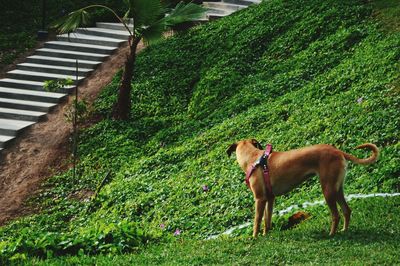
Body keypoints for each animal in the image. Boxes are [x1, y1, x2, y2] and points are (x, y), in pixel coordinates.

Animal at [227, 139, 380, 237]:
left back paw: (331, 234)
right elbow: (267, 219)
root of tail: (338, 151)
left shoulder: (259, 199)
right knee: (347, 210)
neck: (254, 158)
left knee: (336, 215)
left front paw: (254, 237)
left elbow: (257, 220)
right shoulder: (270, 199)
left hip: (328, 190)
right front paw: (266, 234)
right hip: (337, 189)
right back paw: (344, 231)